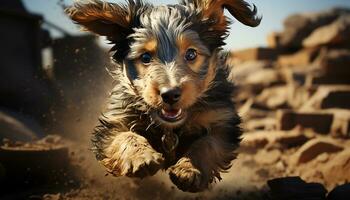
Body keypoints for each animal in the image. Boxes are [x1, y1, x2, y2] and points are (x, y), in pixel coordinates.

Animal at [65, 0, 260, 194]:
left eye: (191, 54)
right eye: (145, 57)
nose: (170, 94)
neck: (170, 127)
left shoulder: (221, 119)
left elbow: (207, 144)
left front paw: (189, 169)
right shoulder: (115, 121)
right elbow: (124, 136)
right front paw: (141, 158)